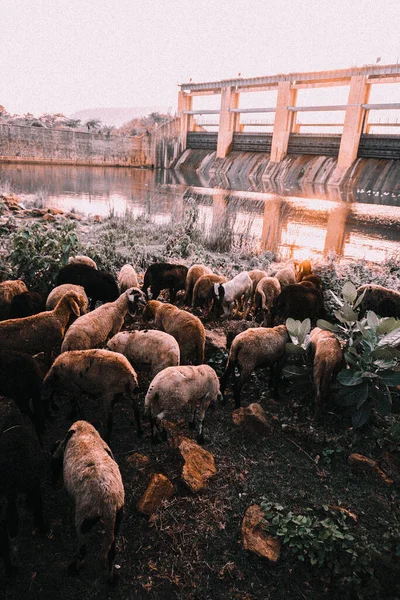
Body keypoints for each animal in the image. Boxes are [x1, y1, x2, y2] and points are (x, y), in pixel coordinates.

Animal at [51, 422, 124, 580]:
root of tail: (108, 505)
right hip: (117, 518)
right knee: (111, 550)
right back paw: (110, 578)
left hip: (84, 519)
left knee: (82, 548)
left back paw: (74, 568)